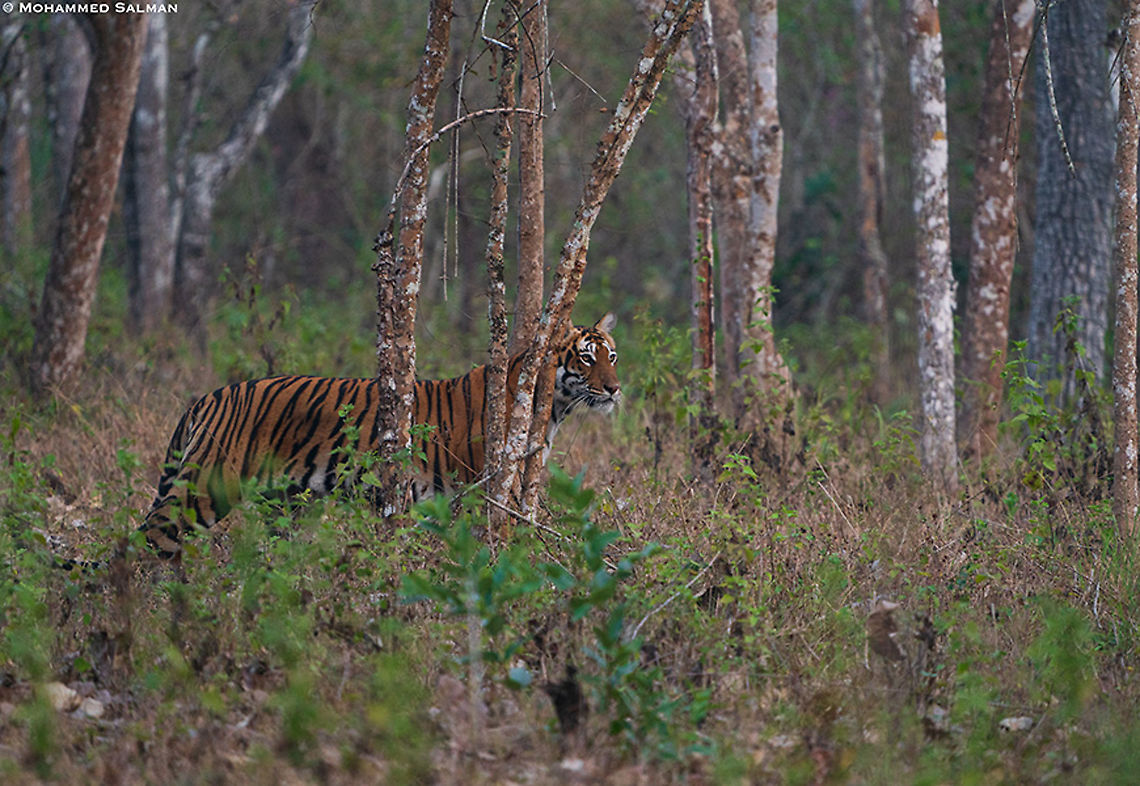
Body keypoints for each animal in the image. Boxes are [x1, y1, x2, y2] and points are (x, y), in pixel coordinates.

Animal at [138, 313, 620, 559]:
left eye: (612, 356)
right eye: (586, 358)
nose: (616, 388)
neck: (551, 406)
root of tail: (208, 396)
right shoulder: (489, 491)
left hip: (285, 503)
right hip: (206, 486)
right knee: (149, 534)